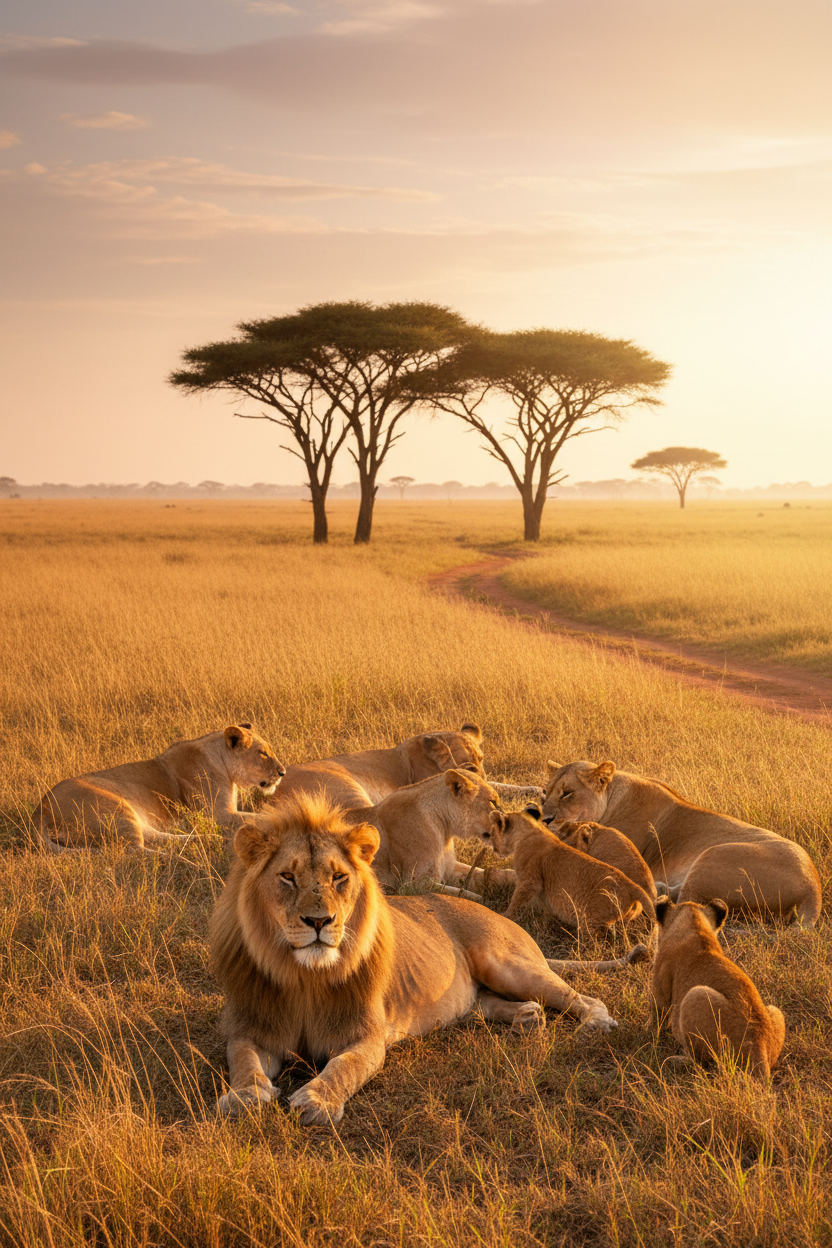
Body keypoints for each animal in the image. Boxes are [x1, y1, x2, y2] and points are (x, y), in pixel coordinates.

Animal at [35, 724, 285, 852]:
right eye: (263, 753)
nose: (283, 772)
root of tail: (40, 810)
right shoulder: (219, 814)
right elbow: (258, 816)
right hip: (115, 807)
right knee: (135, 851)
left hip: (133, 817)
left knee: (154, 837)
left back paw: (208, 840)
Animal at [210, 795, 618, 1126]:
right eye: (287, 877)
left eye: (339, 877)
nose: (319, 921)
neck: (304, 976)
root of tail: (500, 915)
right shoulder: (251, 1029)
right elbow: (242, 1061)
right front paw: (244, 1097)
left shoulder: (367, 1036)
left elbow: (344, 1067)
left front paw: (316, 1100)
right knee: (483, 1002)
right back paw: (526, 1016)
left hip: (507, 965)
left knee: (581, 997)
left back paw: (594, 1022)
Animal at [489, 806, 656, 935]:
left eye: (492, 833)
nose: (494, 849)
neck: (527, 831)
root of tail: (632, 885)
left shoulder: (530, 881)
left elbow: (516, 900)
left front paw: (505, 916)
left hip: (591, 919)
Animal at [540, 760, 822, 927]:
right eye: (545, 792)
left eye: (567, 793)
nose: (544, 819)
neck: (611, 796)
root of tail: (814, 889)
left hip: (712, 855)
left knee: (681, 905)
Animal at [650, 897, 785, 1078]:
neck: (695, 925)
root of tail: (759, 1047)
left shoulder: (660, 990)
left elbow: (656, 1017)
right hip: (775, 1010)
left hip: (696, 995)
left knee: (701, 1063)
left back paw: (675, 1060)